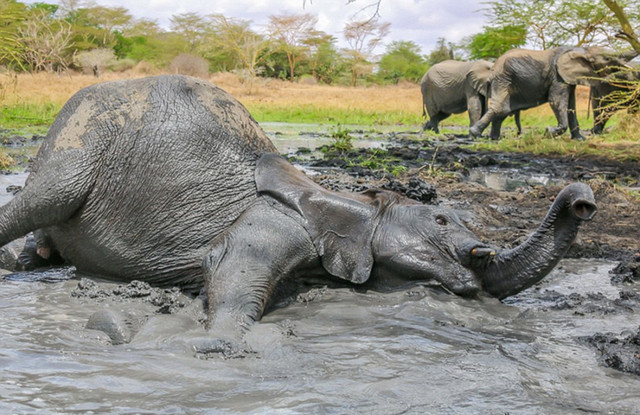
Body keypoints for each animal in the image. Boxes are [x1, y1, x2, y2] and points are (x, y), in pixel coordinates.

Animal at [468, 45, 636, 140]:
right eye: (607, 59)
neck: (582, 50)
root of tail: (493, 68)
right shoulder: (557, 76)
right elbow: (556, 101)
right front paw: (548, 132)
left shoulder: (567, 78)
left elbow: (570, 106)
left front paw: (580, 139)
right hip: (503, 78)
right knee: (500, 108)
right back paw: (475, 134)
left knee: (503, 111)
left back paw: (494, 139)